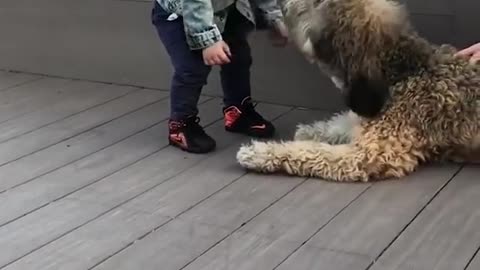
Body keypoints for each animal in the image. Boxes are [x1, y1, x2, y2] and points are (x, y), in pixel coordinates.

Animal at [236, 0, 480, 182]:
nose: (281, 4)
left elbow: (313, 152)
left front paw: (260, 153)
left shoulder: (372, 154)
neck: (401, 70)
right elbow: (339, 125)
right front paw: (310, 131)